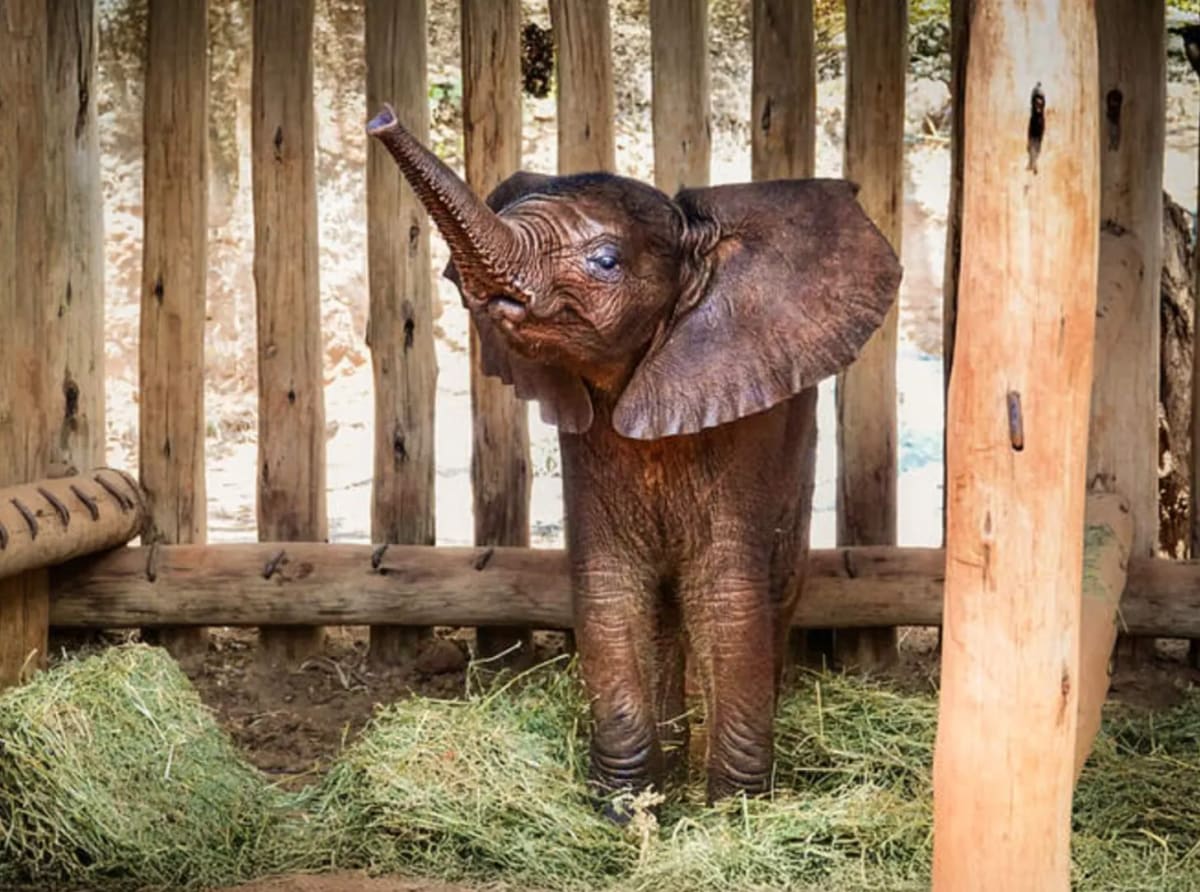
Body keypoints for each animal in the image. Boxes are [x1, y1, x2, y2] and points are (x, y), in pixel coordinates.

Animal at [367, 105, 901, 807]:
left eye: (606, 261)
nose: (380, 118)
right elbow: (610, 583)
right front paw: (627, 808)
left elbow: (726, 594)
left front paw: (732, 812)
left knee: (775, 582)